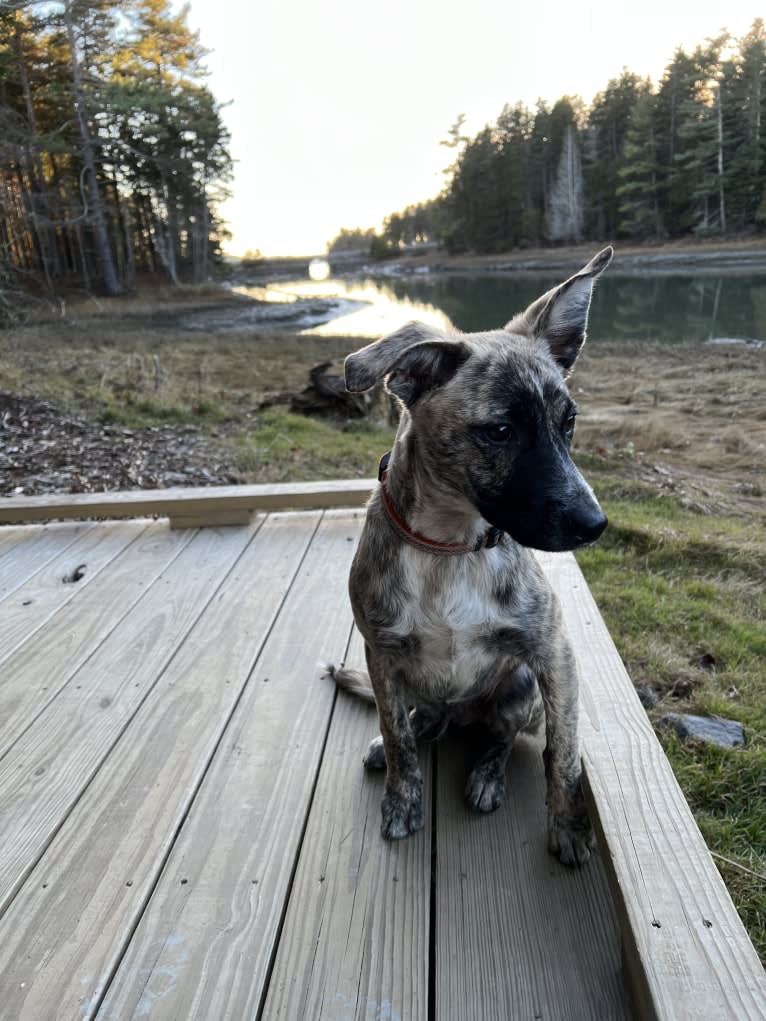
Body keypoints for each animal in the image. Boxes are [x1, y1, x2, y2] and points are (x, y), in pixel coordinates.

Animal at [326, 245, 616, 861]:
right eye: (500, 431)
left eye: (569, 422)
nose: (595, 526)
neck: (449, 548)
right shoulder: (380, 652)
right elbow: (397, 733)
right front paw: (401, 798)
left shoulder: (554, 654)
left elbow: (563, 753)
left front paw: (567, 826)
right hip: (412, 680)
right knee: (418, 720)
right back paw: (407, 739)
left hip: (519, 687)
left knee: (500, 737)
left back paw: (486, 773)